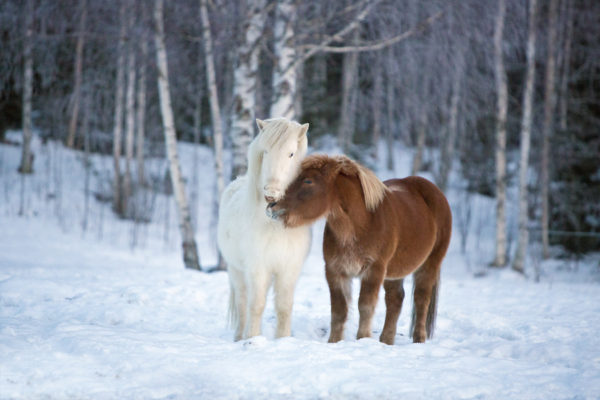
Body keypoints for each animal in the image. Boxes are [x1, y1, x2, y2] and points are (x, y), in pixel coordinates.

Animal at [217, 116, 312, 340]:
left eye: (291, 153)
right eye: (265, 151)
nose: (271, 194)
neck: (275, 224)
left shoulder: (288, 269)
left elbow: (284, 306)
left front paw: (283, 339)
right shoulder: (257, 267)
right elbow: (256, 305)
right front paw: (252, 338)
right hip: (236, 270)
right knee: (242, 302)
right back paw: (239, 337)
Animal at [264, 154, 452, 344]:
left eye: (308, 181)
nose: (272, 206)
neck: (359, 225)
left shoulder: (373, 270)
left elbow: (365, 306)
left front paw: (363, 338)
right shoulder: (335, 270)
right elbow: (339, 310)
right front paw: (334, 341)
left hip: (430, 264)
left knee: (421, 298)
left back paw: (418, 339)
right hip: (395, 272)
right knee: (395, 299)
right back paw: (386, 341)